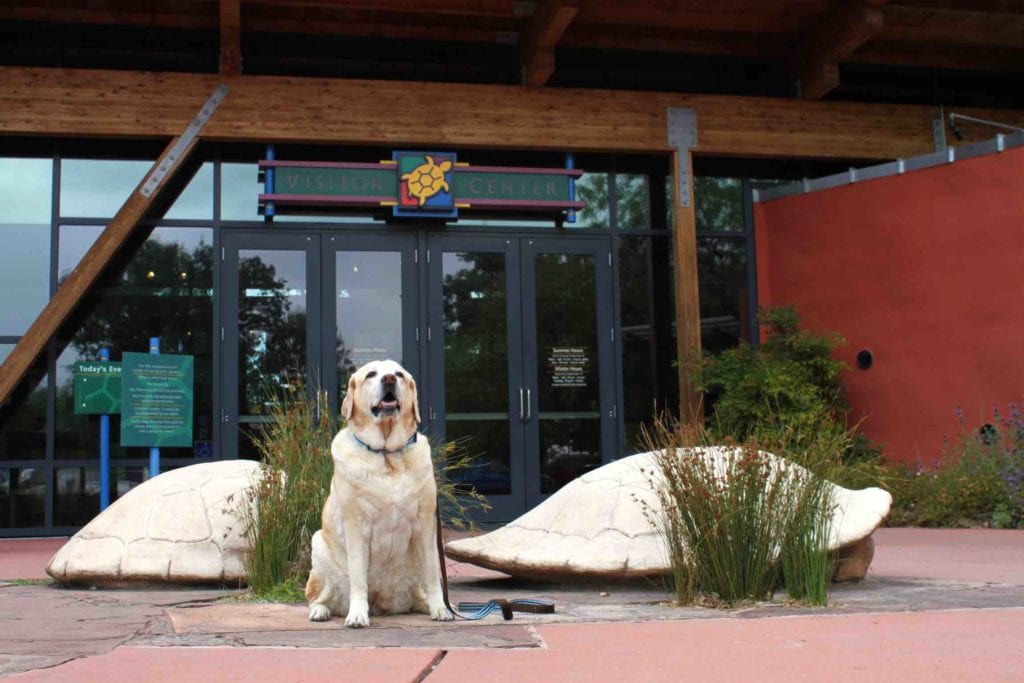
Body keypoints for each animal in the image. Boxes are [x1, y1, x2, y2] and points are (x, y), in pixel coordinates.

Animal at [301, 360, 450, 626]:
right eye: (371, 374)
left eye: (399, 374)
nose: (389, 379)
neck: (387, 454)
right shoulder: (356, 526)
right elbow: (358, 578)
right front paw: (358, 615)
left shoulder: (425, 524)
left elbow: (434, 573)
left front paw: (440, 608)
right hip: (318, 549)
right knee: (318, 596)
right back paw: (320, 611)